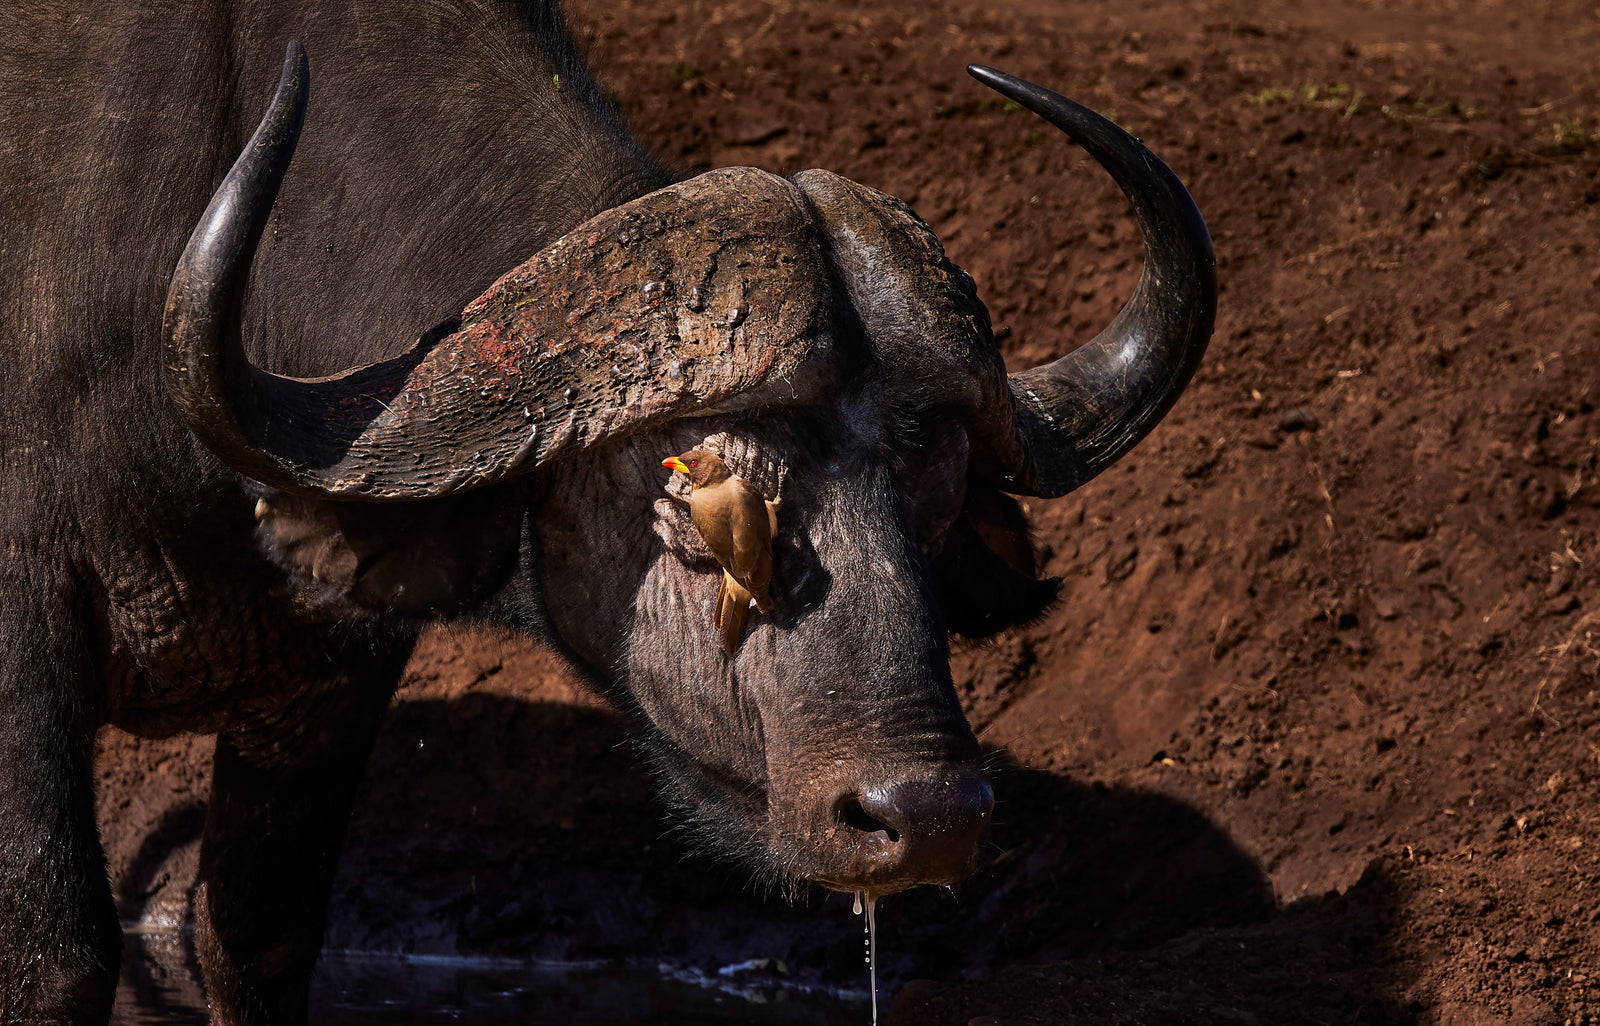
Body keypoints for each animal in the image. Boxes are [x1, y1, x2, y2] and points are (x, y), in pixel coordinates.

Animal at [0, 1, 1213, 1022]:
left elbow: (256, 936)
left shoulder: (329, 674)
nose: (924, 816)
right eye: (690, 496)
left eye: (939, 494)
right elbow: (56, 953)